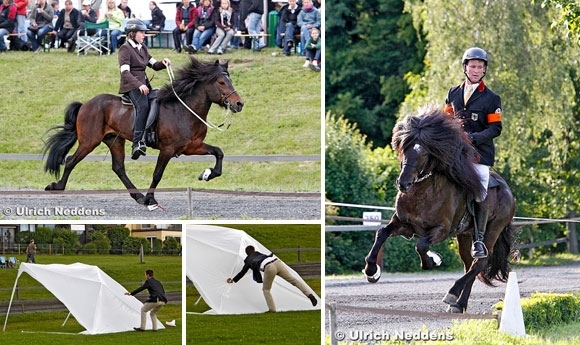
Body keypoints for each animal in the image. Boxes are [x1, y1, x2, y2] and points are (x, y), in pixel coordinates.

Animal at [42, 57, 242, 207]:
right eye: (221, 82)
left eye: (230, 80)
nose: (239, 104)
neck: (183, 110)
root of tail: (86, 105)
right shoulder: (168, 150)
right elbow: (157, 174)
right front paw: (151, 199)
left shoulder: (192, 147)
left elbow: (218, 152)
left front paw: (207, 174)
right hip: (89, 141)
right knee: (70, 161)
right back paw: (57, 187)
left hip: (114, 140)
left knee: (118, 168)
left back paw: (137, 196)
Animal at [362, 106, 516, 314]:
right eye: (404, 149)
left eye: (424, 154)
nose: (403, 184)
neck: (421, 192)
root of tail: (507, 189)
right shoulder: (403, 224)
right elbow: (381, 233)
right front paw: (371, 271)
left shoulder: (441, 230)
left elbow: (421, 246)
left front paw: (433, 260)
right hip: (465, 235)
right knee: (470, 265)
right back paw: (459, 304)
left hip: (493, 230)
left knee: (479, 263)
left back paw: (453, 293)